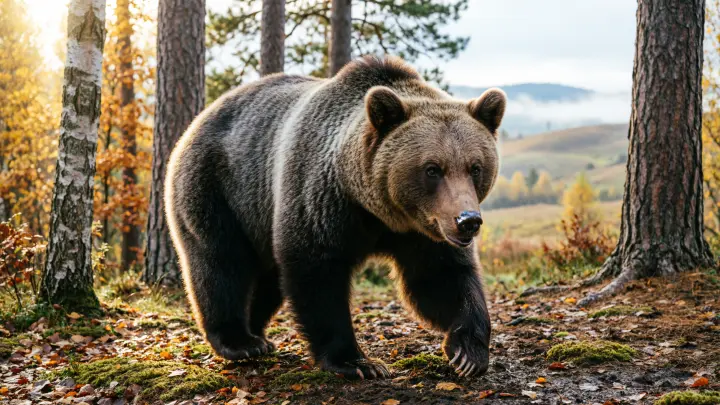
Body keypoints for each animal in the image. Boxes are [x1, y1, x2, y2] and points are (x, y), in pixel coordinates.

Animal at [165, 55, 505, 379]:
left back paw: (256, 334)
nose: (468, 221)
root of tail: (199, 118)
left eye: (475, 167)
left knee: (268, 277)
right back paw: (238, 341)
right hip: (218, 187)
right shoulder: (322, 199)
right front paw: (357, 362)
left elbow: (440, 277)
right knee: (221, 263)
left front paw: (468, 353)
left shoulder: (422, 231)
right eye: (432, 169)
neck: (379, 212)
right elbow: (317, 273)